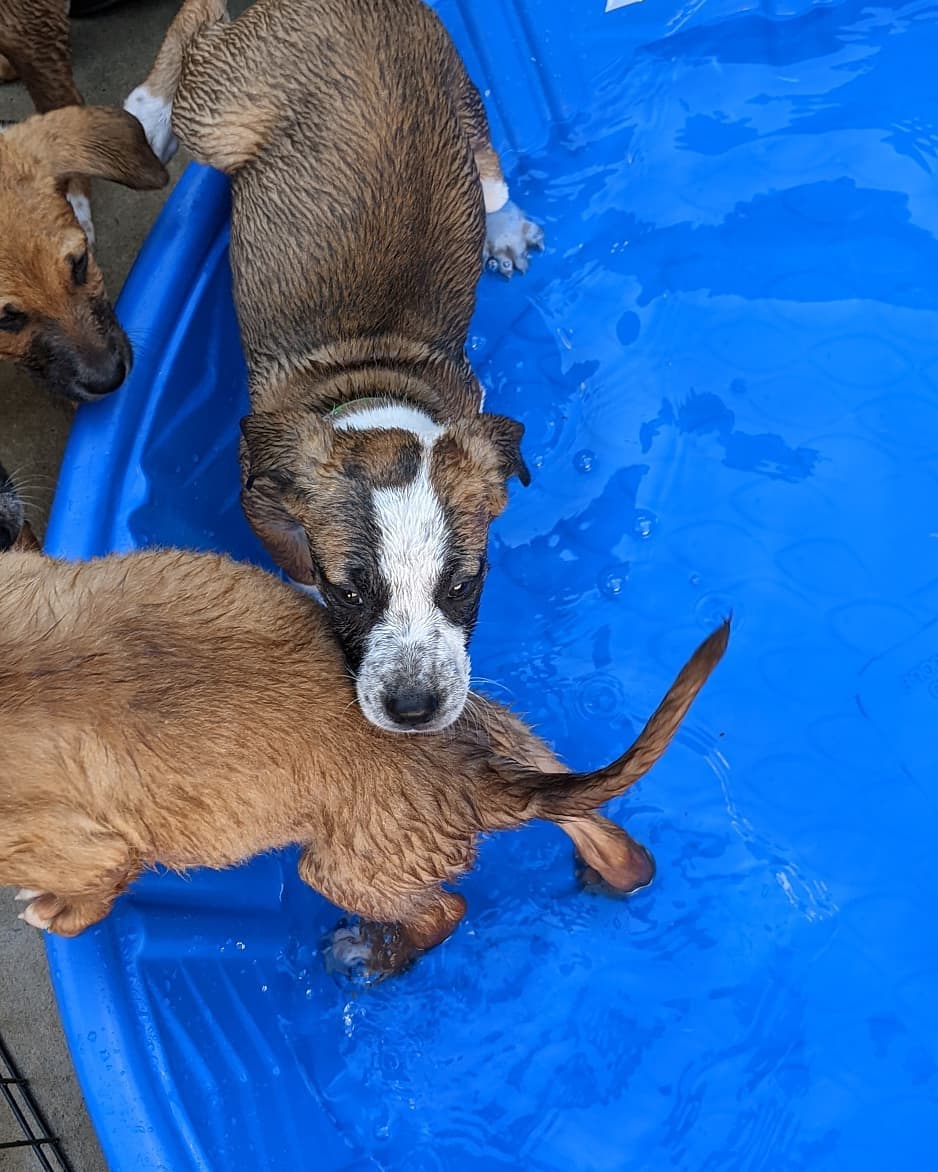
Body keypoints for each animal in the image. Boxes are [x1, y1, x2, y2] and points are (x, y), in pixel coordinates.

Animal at [128, 0, 546, 731]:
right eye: (349, 593)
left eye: (465, 585)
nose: (414, 709)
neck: (373, 388)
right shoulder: (260, 495)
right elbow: (294, 561)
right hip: (220, 115)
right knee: (196, 27)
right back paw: (145, 112)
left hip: (457, 92)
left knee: (489, 171)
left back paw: (502, 227)